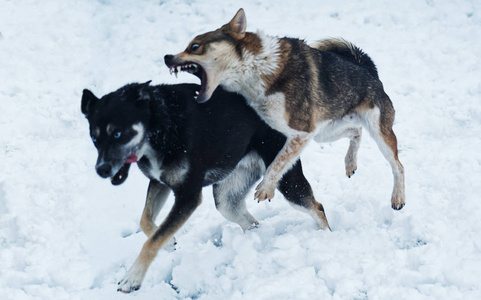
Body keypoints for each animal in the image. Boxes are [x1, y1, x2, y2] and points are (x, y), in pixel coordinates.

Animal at [81, 82, 330, 292]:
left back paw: (326, 237)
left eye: (117, 133)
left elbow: (151, 242)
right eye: (94, 138)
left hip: (286, 181)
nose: (101, 169)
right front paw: (168, 243)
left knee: (317, 207)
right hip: (226, 198)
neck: (163, 125)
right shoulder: (159, 182)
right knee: (251, 222)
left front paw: (132, 277)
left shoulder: (188, 196)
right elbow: (146, 221)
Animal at [165, 8, 404, 210]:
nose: (167, 57)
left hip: (378, 131)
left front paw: (265, 189)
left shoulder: (301, 133)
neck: (256, 67)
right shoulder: (301, 133)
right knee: (356, 131)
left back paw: (398, 198)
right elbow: (281, 159)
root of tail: (367, 68)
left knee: (398, 165)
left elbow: (277, 163)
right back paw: (350, 163)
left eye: (194, 46)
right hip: (326, 132)